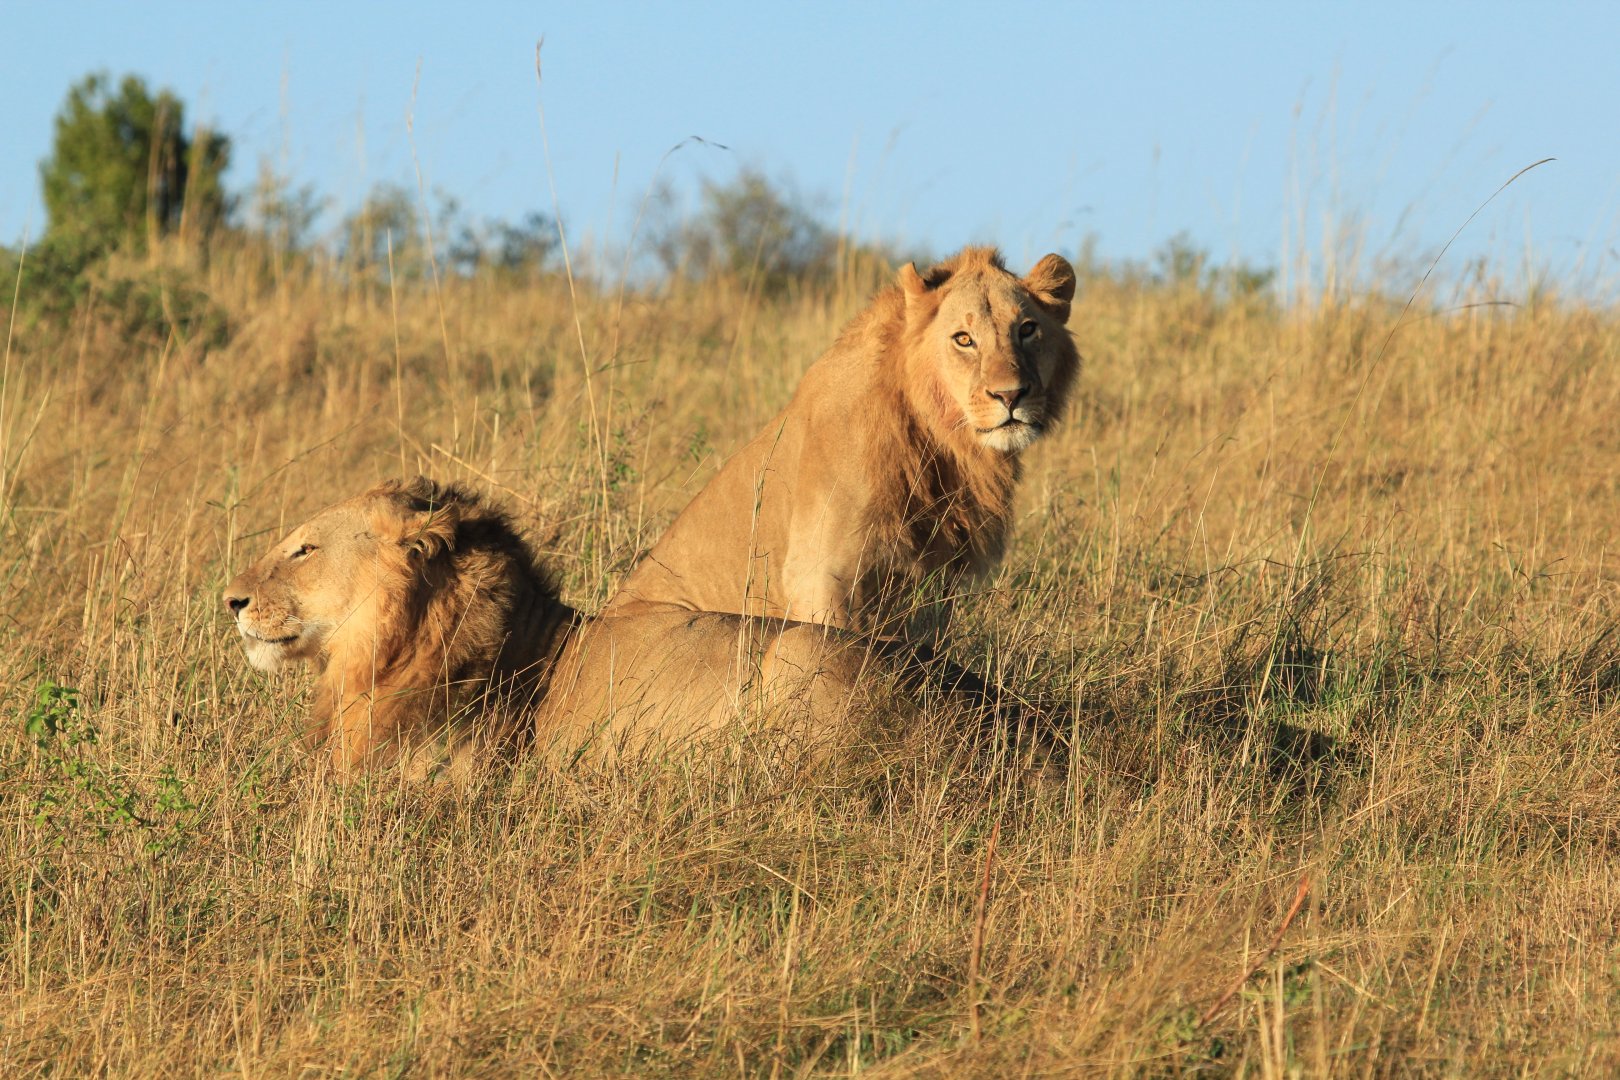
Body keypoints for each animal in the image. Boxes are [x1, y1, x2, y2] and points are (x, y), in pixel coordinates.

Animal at [603, 246, 1080, 638]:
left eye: (1027, 330)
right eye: (964, 339)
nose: (1011, 395)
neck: (939, 440)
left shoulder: (931, 586)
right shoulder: (820, 578)